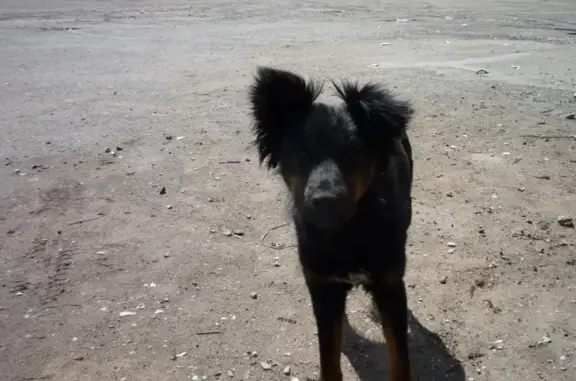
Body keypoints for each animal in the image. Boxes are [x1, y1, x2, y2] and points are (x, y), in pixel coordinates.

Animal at [248, 66, 414, 380]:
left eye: (352, 154)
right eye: (302, 153)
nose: (325, 200)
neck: (346, 231)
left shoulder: (388, 284)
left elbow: (400, 361)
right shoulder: (322, 287)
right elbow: (329, 359)